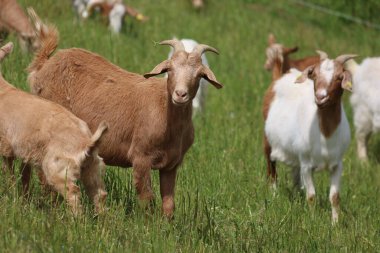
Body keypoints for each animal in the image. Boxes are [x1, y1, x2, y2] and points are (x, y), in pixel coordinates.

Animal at [0, 42, 107, 214]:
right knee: (99, 195)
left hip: (58, 168)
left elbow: (8, 173)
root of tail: (87, 143)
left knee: (73, 193)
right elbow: (24, 176)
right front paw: (23, 199)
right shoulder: (25, 152)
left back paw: (75, 219)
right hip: (92, 168)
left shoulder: (5, 146)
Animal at [26, 10, 223, 217]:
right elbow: (147, 199)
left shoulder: (171, 164)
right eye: (169, 69)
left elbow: (169, 204)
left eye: (200, 74)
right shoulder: (141, 157)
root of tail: (43, 65)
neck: (164, 110)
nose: (180, 94)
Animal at [264, 50, 356, 223]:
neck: (325, 135)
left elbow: (335, 197)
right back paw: (273, 196)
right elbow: (312, 196)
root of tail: (279, 76)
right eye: (313, 74)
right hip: (267, 142)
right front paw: (313, 221)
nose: (320, 97)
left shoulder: (337, 164)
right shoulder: (307, 164)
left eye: (340, 76)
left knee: (295, 175)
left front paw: (335, 223)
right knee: (271, 171)